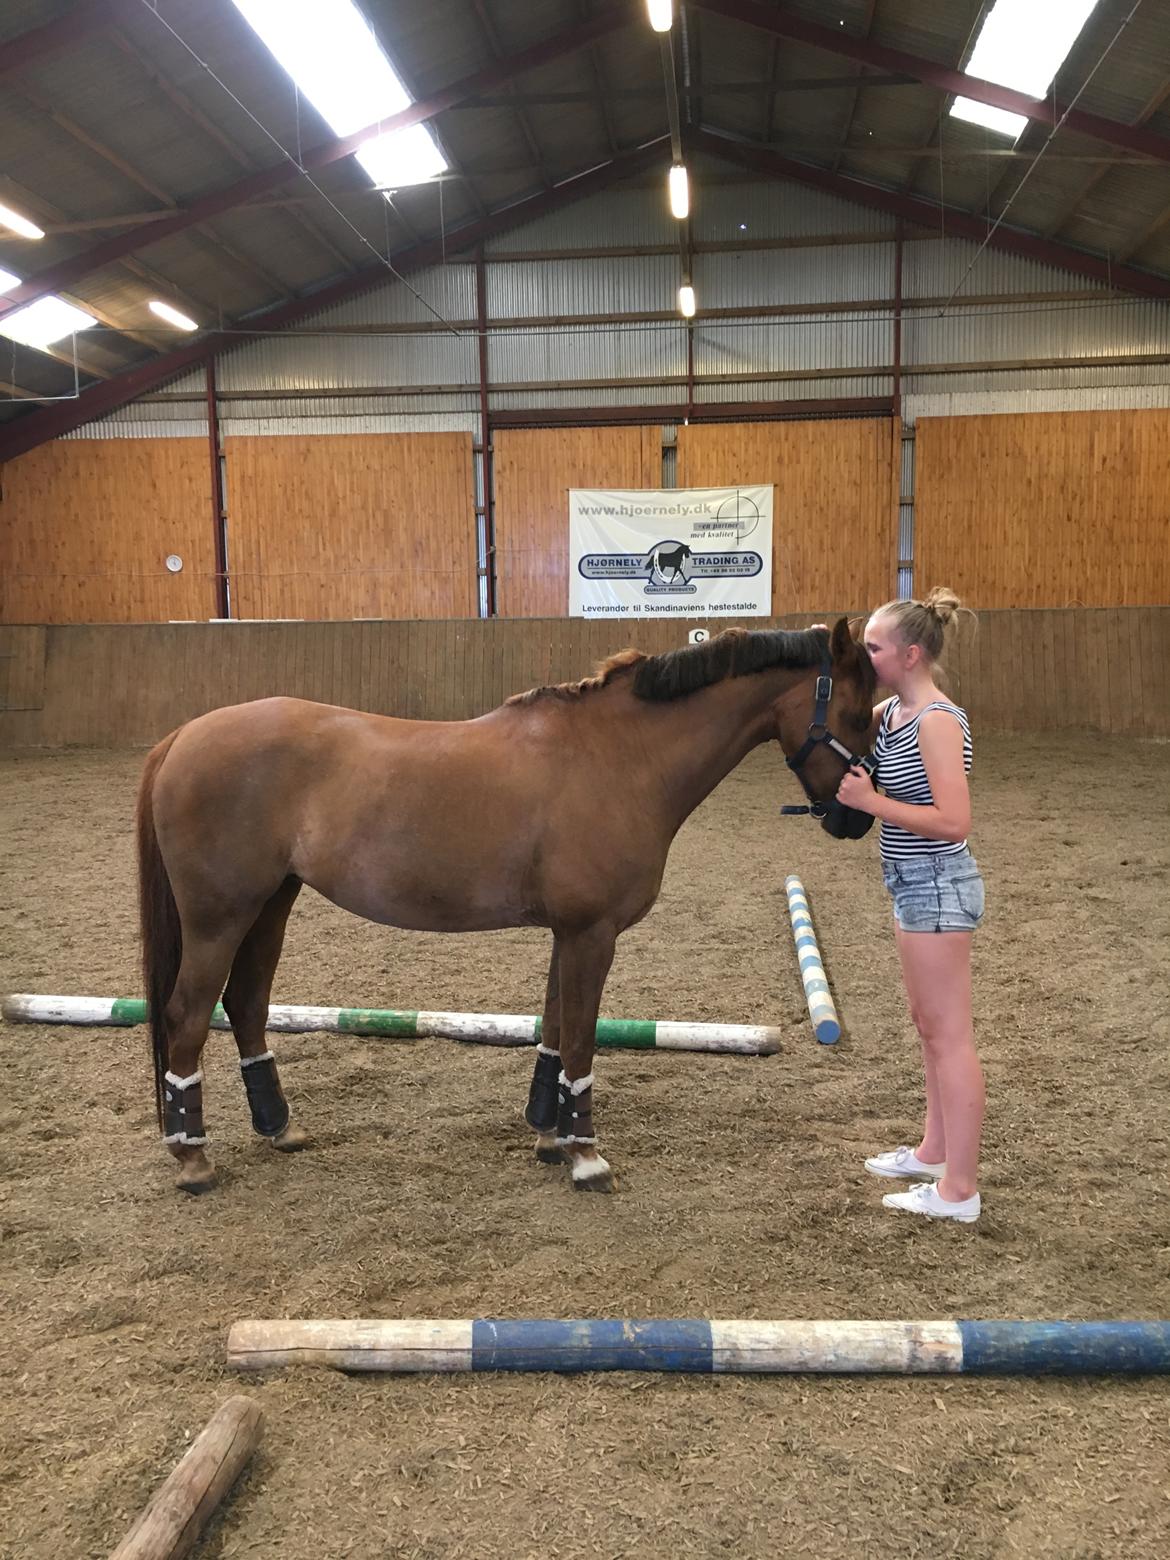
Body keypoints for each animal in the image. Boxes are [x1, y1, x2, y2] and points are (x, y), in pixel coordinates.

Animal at [137, 619, 877, 1195]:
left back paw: (279, 1130)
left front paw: (549, 1136)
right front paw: (585, 1157)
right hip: (219, 917)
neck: (617, 757)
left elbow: (553, 1029)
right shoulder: (592, 934)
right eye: (857, 713)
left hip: (270, 905)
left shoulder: (569, 933)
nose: (856, 819)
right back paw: (194, 1159)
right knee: (187, 1015)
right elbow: (579, 1037)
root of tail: (182, 736)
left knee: (247, 1005)